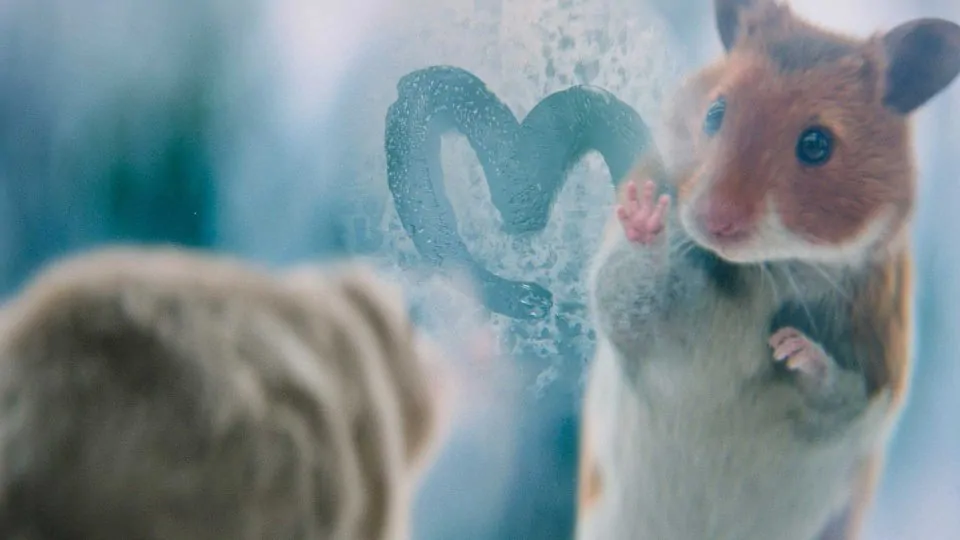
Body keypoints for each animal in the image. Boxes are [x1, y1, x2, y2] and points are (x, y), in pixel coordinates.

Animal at [577, 1, 960, 539]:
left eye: (816, 144)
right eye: (715, 112)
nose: (713, 221)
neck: (761, 269)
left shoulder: (880, 365)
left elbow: (841, 393)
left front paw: (792, 346)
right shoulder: (630, 322)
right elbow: (627, 293)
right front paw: (646, 220)